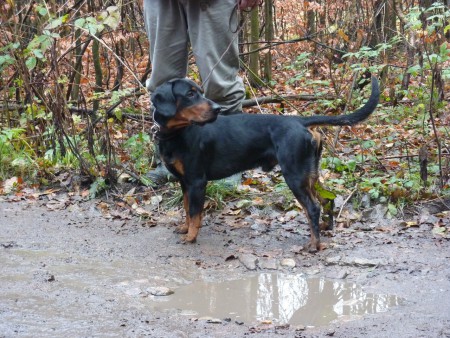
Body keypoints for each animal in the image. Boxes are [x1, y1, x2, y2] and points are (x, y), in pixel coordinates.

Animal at [151, 76, 380, 251]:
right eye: (190, 94)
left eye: (198, 92)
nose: (217, 108)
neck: (176, 134)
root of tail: (300, 121)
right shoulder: (185, 182)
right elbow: (186, 207)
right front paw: (184, 228)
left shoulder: (197, 181)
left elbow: (195, 213)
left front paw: (191, 237)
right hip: (309, 173)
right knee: (326, 199)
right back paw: (325, 227)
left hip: (294, 174)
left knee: (312, 207)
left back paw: (314, 244)